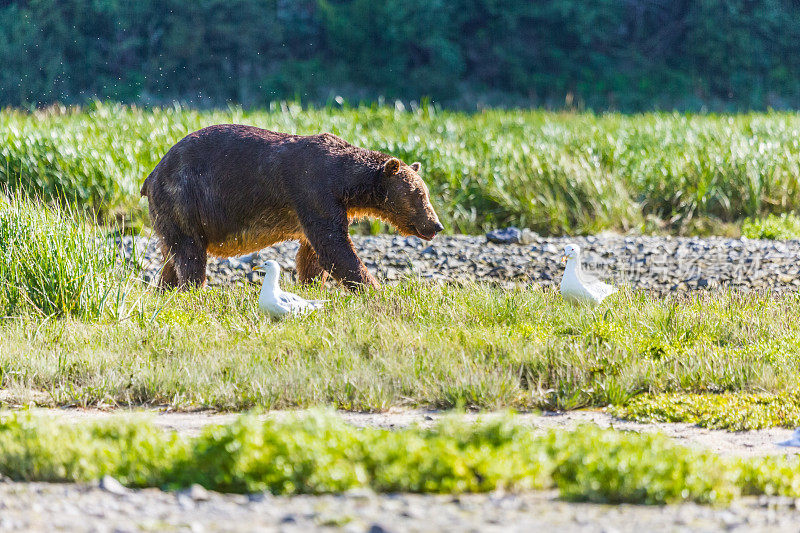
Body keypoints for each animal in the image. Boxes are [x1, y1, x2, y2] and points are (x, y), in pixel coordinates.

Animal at [142, 123, 444, 290]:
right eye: (419, 194)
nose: (436, 225)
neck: (346, 183)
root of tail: (152, 173)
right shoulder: (313, 191)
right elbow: (336, 249)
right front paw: (374, 290)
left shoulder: (325, 206)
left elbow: (312, 255)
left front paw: (311, 286)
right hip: (185, 199)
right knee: (190, 255)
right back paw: (193, 291)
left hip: (169, 213)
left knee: (171, 256)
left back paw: (164, 289)